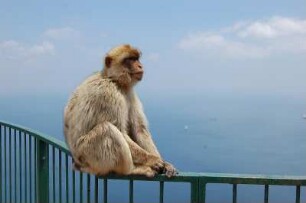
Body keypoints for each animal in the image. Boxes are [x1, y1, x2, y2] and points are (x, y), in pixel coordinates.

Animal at [64, 44, 177, 178]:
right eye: (129, 60)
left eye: (136, 59)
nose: (140, 66)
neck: (115, 80)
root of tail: (78, 163)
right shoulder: (108, 94)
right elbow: (121, 131)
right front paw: (152, 160)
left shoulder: (129, 92)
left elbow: (139, 129)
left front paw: (166, 164)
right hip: (87, 154)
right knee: (107, 129)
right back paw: (132, 170)